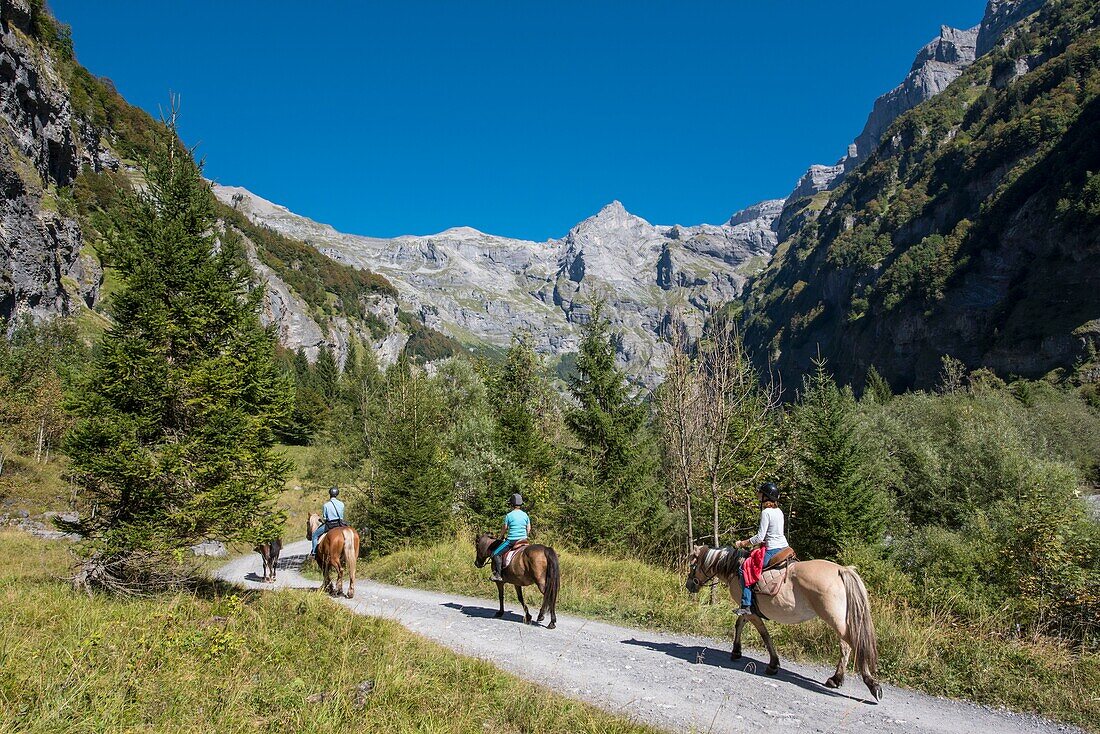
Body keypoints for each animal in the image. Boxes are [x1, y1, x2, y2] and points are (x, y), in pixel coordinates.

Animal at [682, 545, 880, 699]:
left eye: (693, 564)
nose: (689, 585)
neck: (734, 567)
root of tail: (841, 570)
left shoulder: (750, 610)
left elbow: (763, 633)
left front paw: (773, 663)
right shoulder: (747, 609)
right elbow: (740, 624)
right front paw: (736, 651)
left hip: (834, 619)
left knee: (855, 644)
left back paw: (872, 684)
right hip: (839, 620)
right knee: (846, 646)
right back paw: (836, 679)